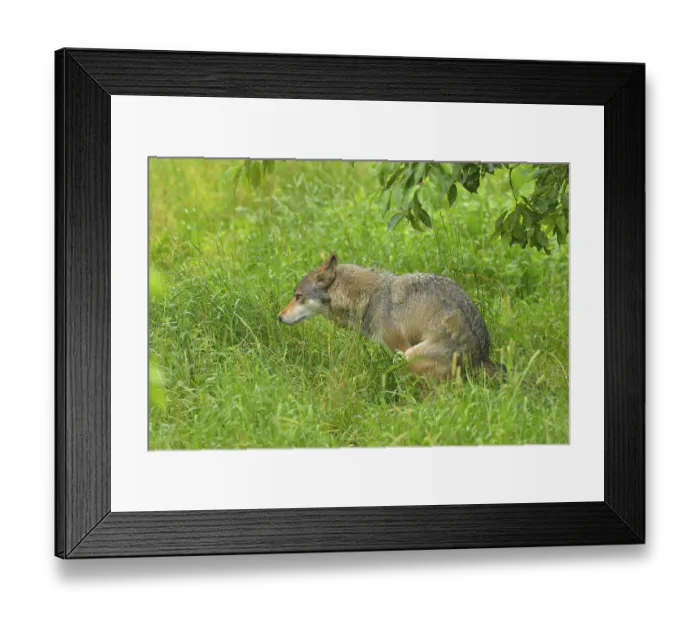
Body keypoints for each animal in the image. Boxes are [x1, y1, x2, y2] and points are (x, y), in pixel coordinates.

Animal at [278, 253, 505, 381]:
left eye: (298, 296)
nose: (279, 317)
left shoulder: (400, 347)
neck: (369, 298)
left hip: (410, 356)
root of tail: (482, 355)